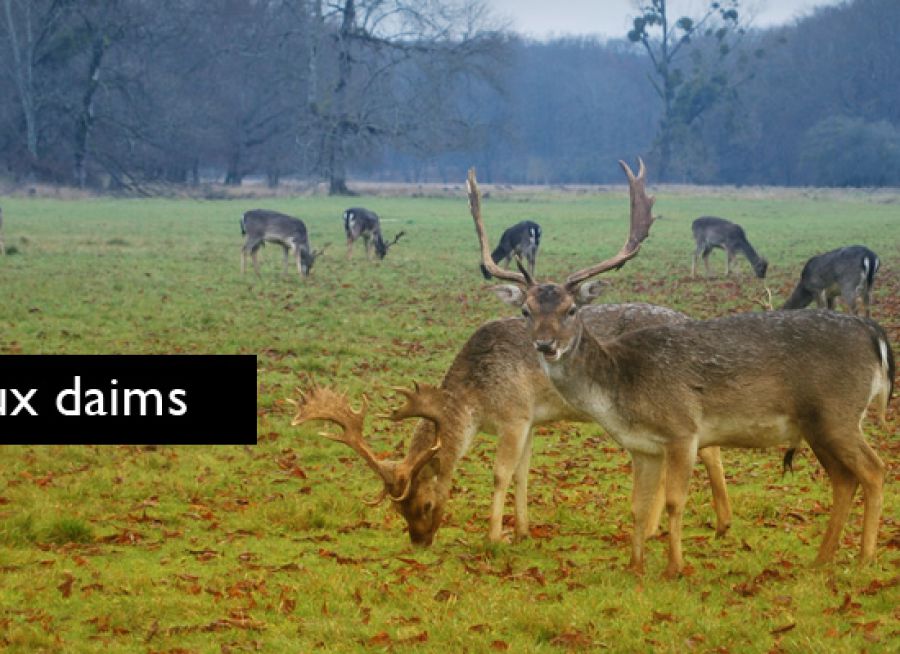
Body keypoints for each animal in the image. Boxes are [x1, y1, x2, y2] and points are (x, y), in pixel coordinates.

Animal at [292, 304, 736, 552]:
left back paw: (721, 523)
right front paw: (522, 532)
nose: (419, 543)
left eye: (426, 505)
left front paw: (494, 536)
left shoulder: (515, 415)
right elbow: (523, 474)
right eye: (398, 510)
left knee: (707, 446)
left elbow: (501, 474)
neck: (477, 400)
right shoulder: (531, 421)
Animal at [472, 159, 892, 580]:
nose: (546, 345)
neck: (621, 392)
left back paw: (865, 558)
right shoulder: (642, 447)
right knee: (845, 480)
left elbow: (676, 501)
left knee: (874, 470)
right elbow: (637, 505)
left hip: (838, 413)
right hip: (817, 424)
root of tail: (873, 334)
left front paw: (674, 567)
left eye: (571, 309)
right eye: (526, 311)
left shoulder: (682, 431)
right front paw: (635, 566)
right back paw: (822, 559)